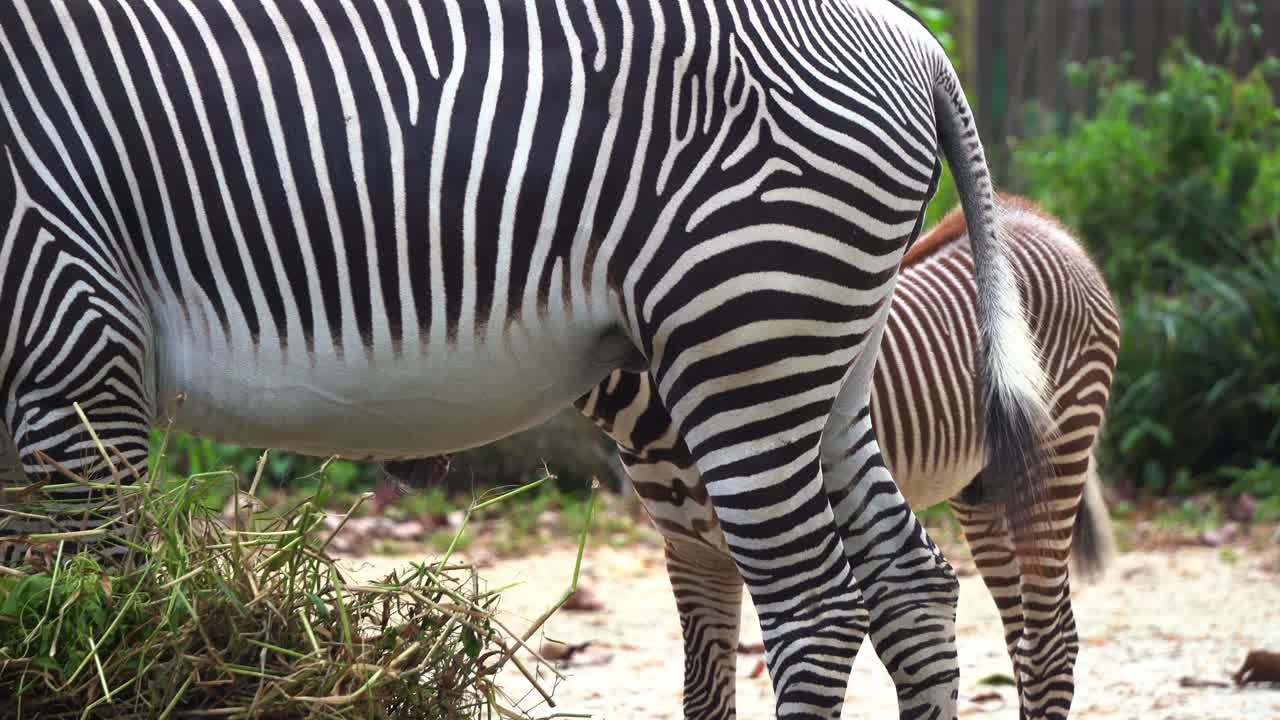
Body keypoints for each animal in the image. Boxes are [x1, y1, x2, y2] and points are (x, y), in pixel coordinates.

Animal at [0, 2, 1052, 717]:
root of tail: (912, 36)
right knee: (910, 583)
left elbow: (115, 615)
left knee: (816, 603)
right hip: (817, 356)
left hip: (743, 337)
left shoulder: (75, 337)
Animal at [557, 194, 1119, 719]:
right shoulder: (690, 550)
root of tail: (1038, 221)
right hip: (982, 491)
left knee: (1048, 646)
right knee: (1024, 639)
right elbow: (705, 699)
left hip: (1061, 450)